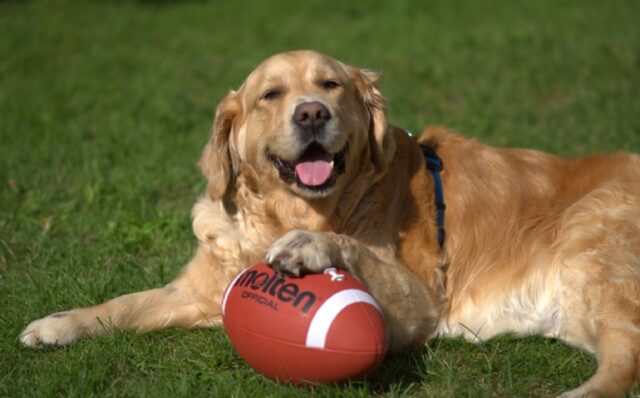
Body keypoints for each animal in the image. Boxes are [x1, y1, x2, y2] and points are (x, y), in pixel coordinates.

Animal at [20, 51, 640, 396]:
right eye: (272, 94)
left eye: (331, 86)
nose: (312, 113)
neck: (291, 212)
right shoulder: (195, 290)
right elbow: (126, 304)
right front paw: (59, 324)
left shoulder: (419, 305)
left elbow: (347, 246)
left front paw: (311, 246)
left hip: (592, 245)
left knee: (623, 364)